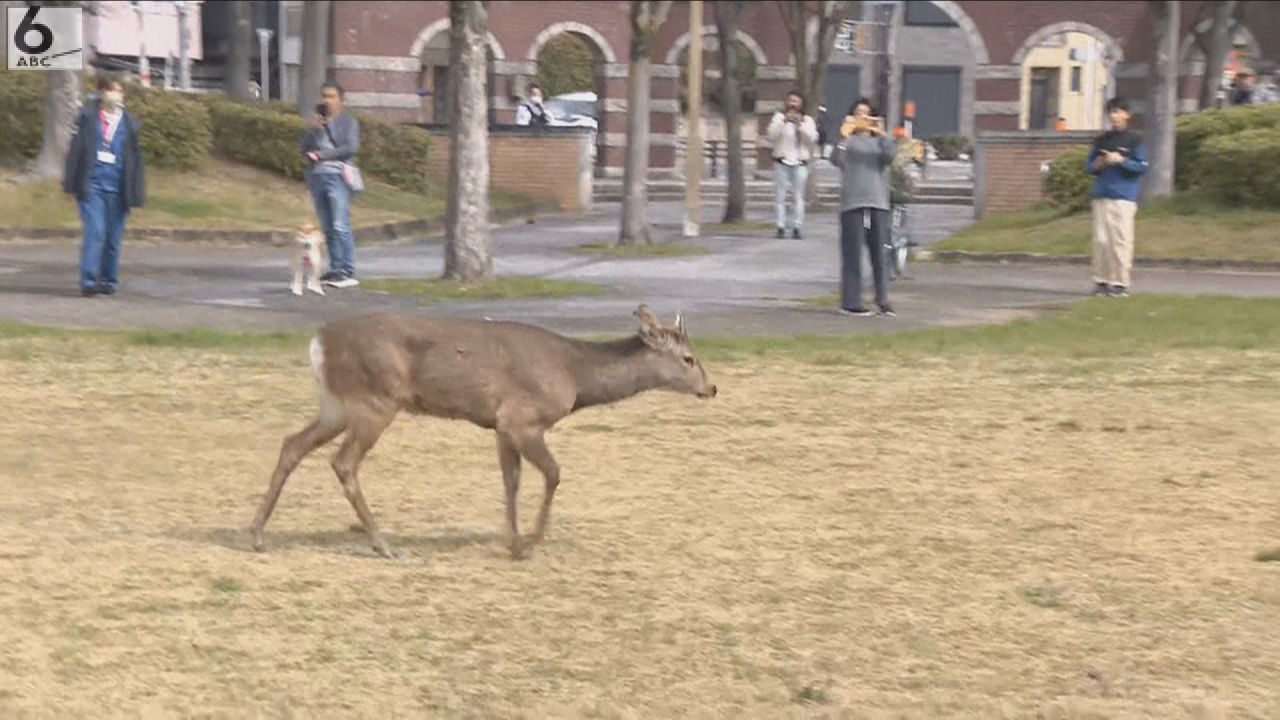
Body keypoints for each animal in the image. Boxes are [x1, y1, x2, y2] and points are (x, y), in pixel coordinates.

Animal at [248, 304, 717, 560]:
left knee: (291, 444)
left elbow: (511, 480)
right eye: (689, 358)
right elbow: (553, 474)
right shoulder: (522, 418)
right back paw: (382, 544)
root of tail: (318, 342)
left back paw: (256, 535)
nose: (711, 388)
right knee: (343, 463)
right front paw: (531, 543)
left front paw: (513, 542)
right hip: (375, 400)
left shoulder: (500, 427)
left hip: (337, 404)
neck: (574, 375)